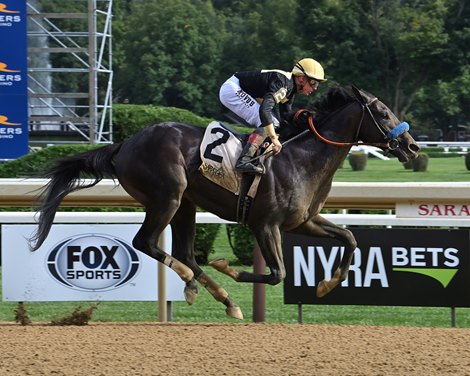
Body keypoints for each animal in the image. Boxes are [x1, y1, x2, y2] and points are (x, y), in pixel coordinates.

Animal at [29, 86, 418, 320]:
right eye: (383, 112)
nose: (412, 146)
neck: (302, 158)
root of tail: (124, 144)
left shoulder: (303, 221)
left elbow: (350, 239)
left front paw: (326, 285)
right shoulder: (266, 224)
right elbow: (277, 274)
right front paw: (227, 266)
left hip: (185, 205)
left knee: (184, 252)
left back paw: (221, 298)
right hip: (167, 196)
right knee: (146, 242)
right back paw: (195, 282)